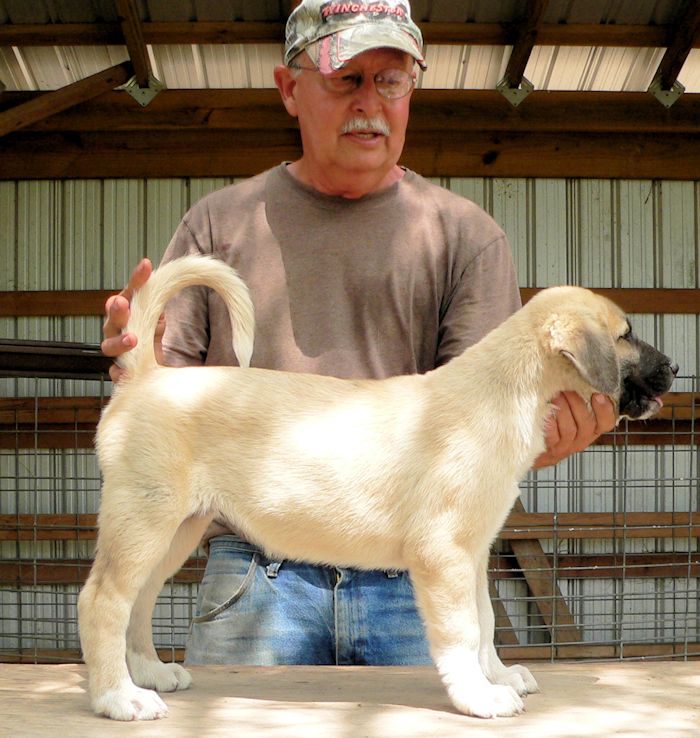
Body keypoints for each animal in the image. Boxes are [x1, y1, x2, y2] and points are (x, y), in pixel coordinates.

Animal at [78, 253, 680, 720]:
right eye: (626, 335)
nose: (675, 367)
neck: (505, 393)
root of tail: (147, 375)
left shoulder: (474, 552)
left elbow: (485, 621)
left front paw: (497, 676)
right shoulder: (444, 552)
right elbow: (462, 631)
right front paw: (479, 696)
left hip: (176, 528)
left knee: (137, 601)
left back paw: (150, 674)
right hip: (144, 518)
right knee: (103, 600)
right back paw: (119, 698)